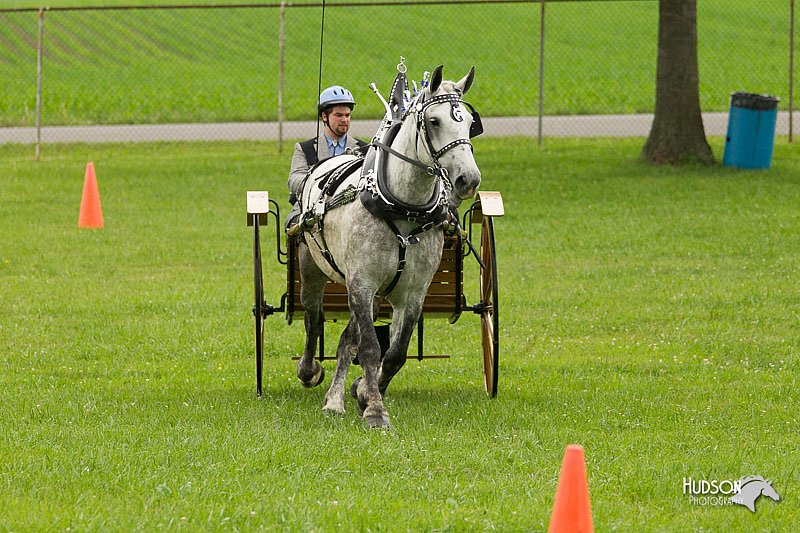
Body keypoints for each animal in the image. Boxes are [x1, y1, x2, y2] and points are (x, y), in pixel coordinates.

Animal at [296, 65, 478, 428]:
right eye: (434, 121)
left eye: (468, 122)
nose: (469, 179)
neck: (403, 209)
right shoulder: (362, 284)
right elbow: (369, 348)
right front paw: (376, 411)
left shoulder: (413, 293)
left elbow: (395, 353)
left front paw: (365, 392)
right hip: (314, 269)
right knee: (313, 318)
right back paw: (312, 373)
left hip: (374, 291)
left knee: (346, 339)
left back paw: (335, 399)